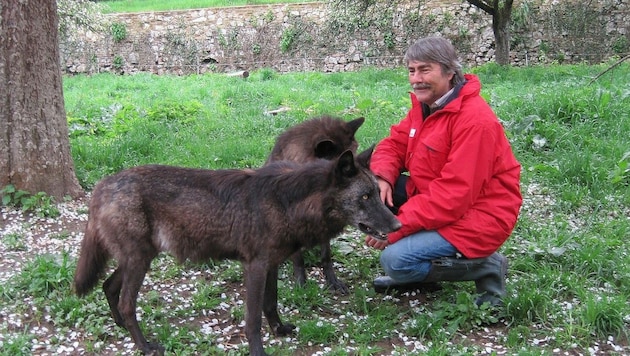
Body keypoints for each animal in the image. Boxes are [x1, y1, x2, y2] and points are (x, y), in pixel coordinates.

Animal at [73, 149, 400, 354]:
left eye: (376, 193)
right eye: (365, 197)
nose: (398, 223)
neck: (286, 203)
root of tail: (102, 186)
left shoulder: (270, 265)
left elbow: (271, 304)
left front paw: (279, 329)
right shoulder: (254, 267)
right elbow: (253, 319)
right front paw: (259, 351)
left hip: (139, 259)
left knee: (108, 286)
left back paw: (120, 326)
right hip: (139, 261)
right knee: (127, 302)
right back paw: (144, 346)